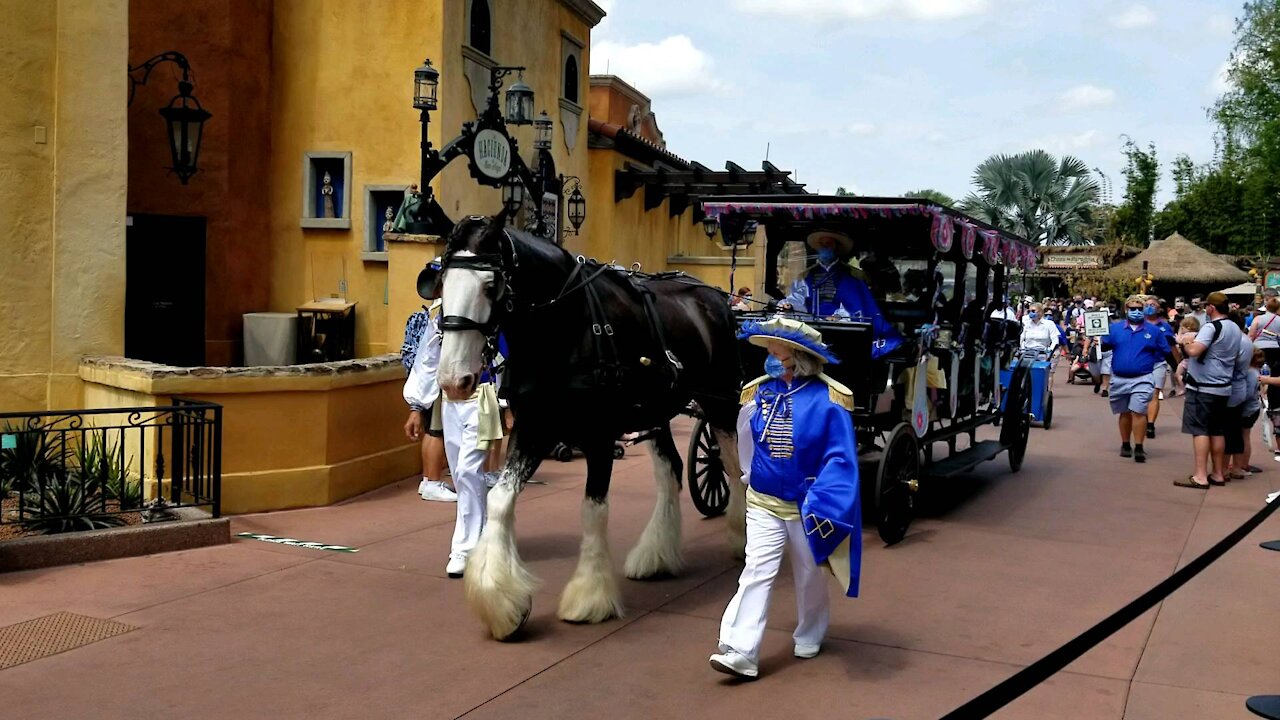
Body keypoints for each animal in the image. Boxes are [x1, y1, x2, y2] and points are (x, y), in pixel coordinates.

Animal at [437, 213, 747, 638]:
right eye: (442, 281)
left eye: (490, 285)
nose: (455, 380)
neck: (564, 328)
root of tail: (715, 297)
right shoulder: (534, 426)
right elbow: (500, 500)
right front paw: (501, 601)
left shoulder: (599, 434)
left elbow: (593, 509)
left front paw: (589, 596)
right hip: (656, 410)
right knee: (670, 470)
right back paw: (657, 555)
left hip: (720, 402)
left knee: (733, 466)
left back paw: (742, 539)